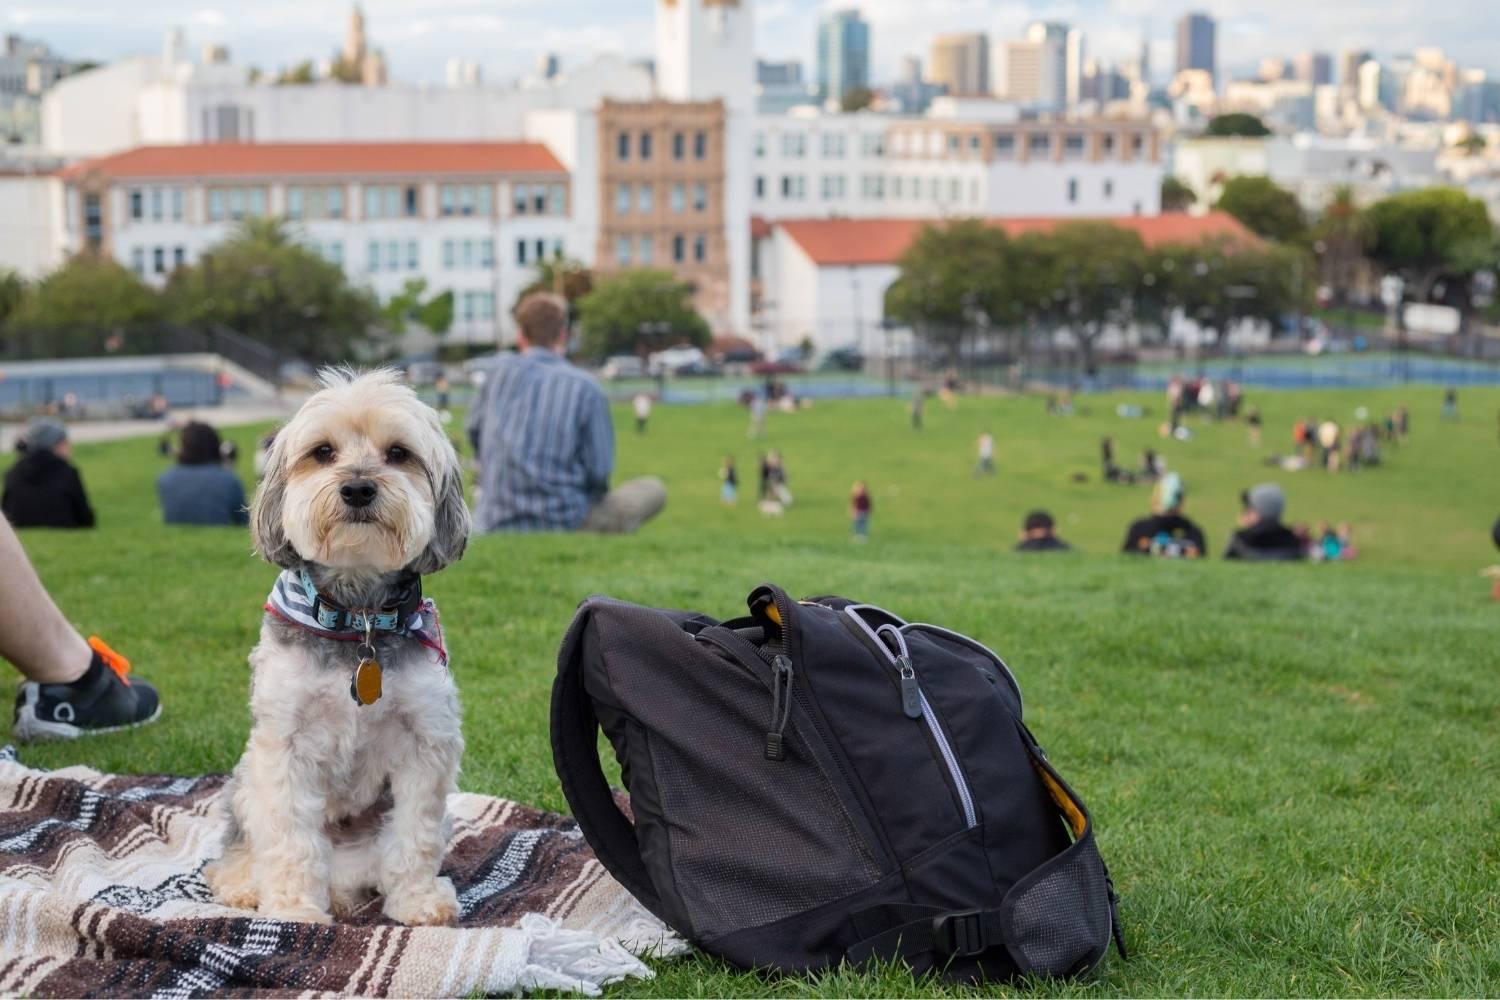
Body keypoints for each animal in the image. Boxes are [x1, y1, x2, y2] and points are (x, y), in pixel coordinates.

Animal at [207, 371, 468, 929]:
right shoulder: (283, 744)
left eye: (399, 453)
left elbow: (413, 835)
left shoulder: (427, 740)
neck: (358, 618)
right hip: (243, 783)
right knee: (237, 850)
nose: (358, 488)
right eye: (323, 452)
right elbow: (289, 839)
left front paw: (417, 900)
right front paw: (293, 911)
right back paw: (245, 887)